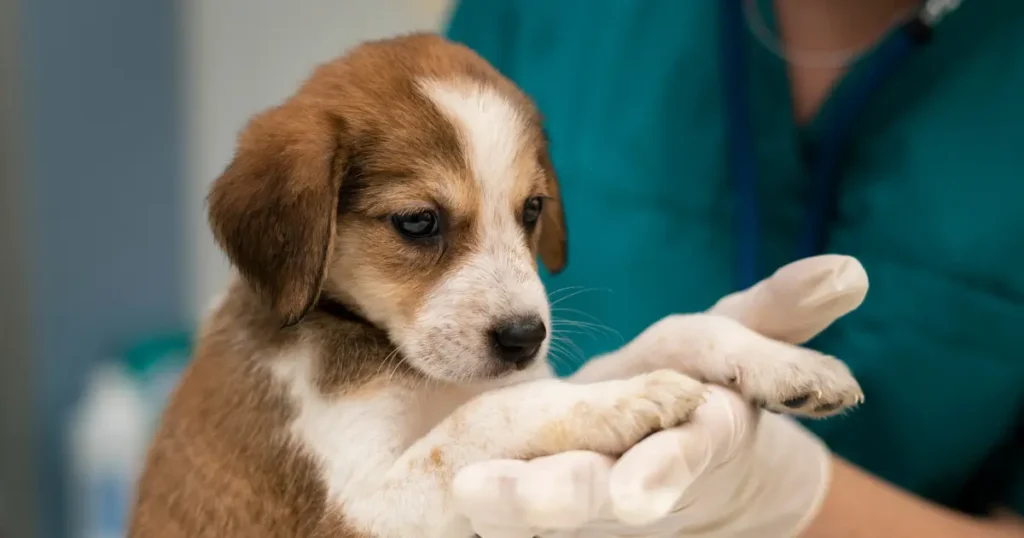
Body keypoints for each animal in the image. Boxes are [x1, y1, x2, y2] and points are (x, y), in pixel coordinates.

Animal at [130, 33, 864, 536]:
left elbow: (669, 331)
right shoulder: (360, 511)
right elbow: (482, 419)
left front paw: (782, 360)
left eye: (532, 210)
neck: (399, 361)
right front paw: (621, 401)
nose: (524, 338)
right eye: (418, 222)